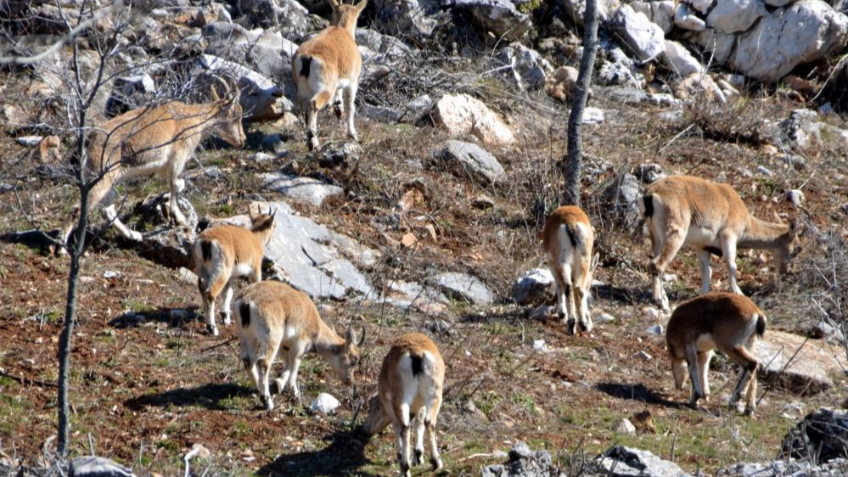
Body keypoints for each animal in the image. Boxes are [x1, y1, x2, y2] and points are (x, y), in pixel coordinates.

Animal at [58, 76, 245, 251]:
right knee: (79, 208)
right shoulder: (177, 161)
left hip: (108, 180)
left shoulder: (165, 168)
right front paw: (181, 220)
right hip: (100, 177)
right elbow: (176, 185)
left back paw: (134, 235)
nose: (242, 140)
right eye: (237, 115)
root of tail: (89, 139)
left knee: (107, 209)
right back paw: (62, 247)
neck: (193, 119)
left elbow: (177, 185)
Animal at [234, 278, 362, 410]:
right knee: (263, 362)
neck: (316, 326)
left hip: (248, 336)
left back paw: (259, 389)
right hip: (272, 337)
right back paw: (267, 402)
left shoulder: (284, 345)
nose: (350, 381)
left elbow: (287, 362)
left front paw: (278, 384)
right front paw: (295, 394)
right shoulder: (298, 346)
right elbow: (293, 366)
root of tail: (246, 301)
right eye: (354, 359)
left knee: (248, 360)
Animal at [292, 0, 364, 150]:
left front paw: (338, 111)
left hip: (303, 90)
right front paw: (352, 134)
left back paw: (312, 141)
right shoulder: (352, 82)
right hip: (325, 88)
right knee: (313, 105)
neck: (343, 30)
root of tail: (307, 58)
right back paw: (313, 142)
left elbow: (339, 101)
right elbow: (350, 107)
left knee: (305, 110)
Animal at [362, 330, 448, 476]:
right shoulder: (421, 405)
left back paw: (405, 468)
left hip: (401, 400)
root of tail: (416, 354)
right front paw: (418, 457)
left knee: (404, 428)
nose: (364, 429)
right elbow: (419, 423)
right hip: (435, 396)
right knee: (428, 422)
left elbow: (397, 428)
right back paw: (436, 462)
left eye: (373, 407)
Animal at [640, 175, 804, 308]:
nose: (787, 272)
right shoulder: (728, 236)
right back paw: (661, 302)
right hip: (675, 234)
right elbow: (732, 265)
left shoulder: (703, 246)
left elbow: (707, 270)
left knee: (654, 262)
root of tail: (651, 193)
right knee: (657, 264)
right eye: (797, 249)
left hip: (656, 237)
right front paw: (739, 293)